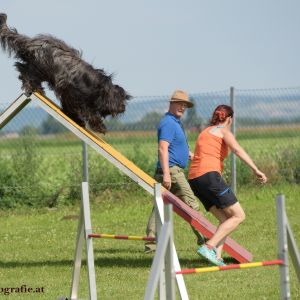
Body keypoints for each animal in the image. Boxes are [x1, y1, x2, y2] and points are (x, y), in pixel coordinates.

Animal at [0, 12, 131, 132]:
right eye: (119, 99)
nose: (123, 108)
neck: (96, 86)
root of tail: (32, 42)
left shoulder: (68, 94)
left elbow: (72, 107)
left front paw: (77, 119)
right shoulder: (72, 93)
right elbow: (87, 111)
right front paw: (99, 126)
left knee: (21, 67)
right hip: (40, 67)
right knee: (25, 71)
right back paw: (34, 86)